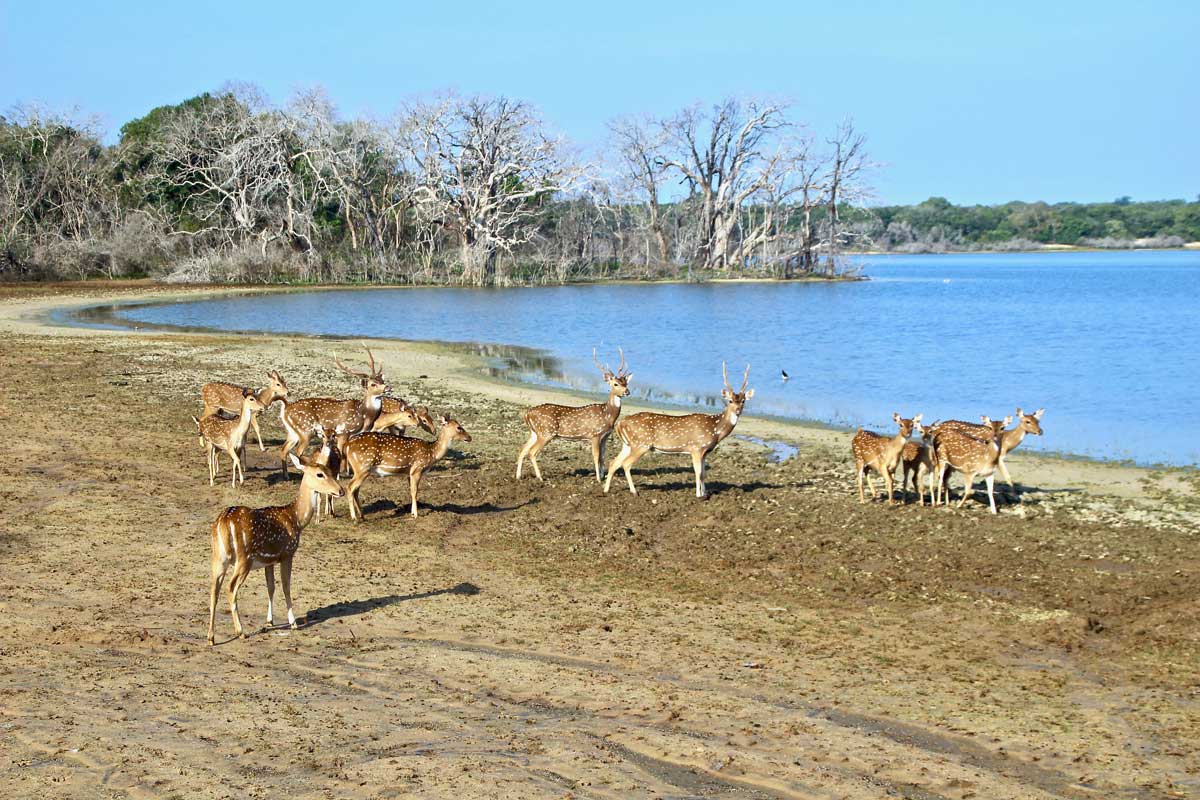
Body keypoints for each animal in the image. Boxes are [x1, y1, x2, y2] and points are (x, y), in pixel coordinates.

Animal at [206, 453, 345, 647]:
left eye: (331, 471)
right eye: (320, 474)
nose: (341, 490)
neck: (297, 519)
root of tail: (223, 523)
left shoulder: (269, 560)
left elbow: (270, 587)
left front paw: (270, 621)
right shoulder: (287, 553)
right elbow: (286, 586)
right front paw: (293, 622)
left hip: (218, 557)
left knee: (214, 590)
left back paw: (211, 637)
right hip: (244, 558)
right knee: (230, 588)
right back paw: (241, 632)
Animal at [343, 417, 472, 522]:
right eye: (459, 427)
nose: (469, 437)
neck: (432, 453)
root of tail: (347, 445)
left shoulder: (409, 473)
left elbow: (410, 491)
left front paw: (411, 512)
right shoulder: (417, 469)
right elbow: (415, 492)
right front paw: (416, 515)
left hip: (360, 470)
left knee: (356, 490)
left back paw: (362, 515)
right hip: (363, 467)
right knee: (349, 487)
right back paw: (354, 517)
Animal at [516, 347, 633, 482]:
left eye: (626, 383)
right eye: (615, 384)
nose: (627, 391)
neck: (608, 415)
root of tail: (527, 414)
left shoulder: (605, 436)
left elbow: (603, 456)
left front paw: (604, 476)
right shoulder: (594, 434)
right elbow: (596, 456)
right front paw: (598, 479)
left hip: (535, 433)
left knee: (522, 449)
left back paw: (518, 476)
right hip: (545, 432)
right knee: (532, 452)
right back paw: (540, 477)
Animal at [604, 364, 753, 501]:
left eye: (743, 401)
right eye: (730, 400)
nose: (738, 410)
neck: (715, 430)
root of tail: (620, 423)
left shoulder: (705, 452)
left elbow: (704, 473)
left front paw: (705, 493)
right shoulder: (696, 448)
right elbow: (698, 472)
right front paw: (699, 495)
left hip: (628, 445)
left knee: (614, 462)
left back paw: (606, 489)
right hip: (640, 444)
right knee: (626, 464)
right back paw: (634, 492)